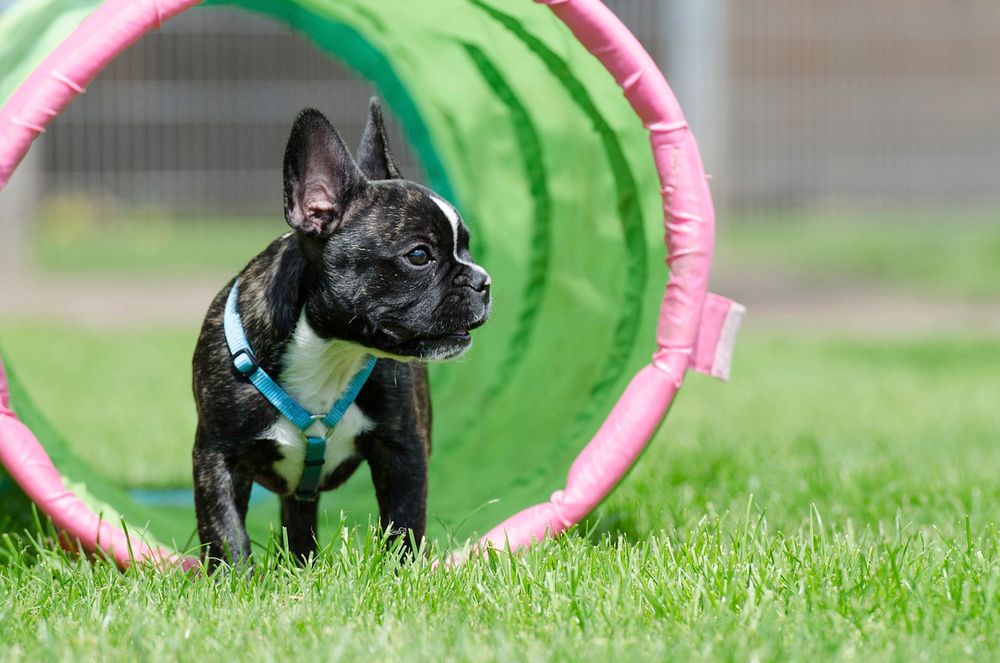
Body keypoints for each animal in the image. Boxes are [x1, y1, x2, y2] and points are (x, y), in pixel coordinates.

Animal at [189, 97, 490, 564]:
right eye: (419, 255)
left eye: (467, 249)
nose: (483, 281)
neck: (329, 349)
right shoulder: (217, 456)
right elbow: (225, 532)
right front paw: (233, 576)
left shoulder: (403, 450)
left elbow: (404, 522)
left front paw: (401, 572)